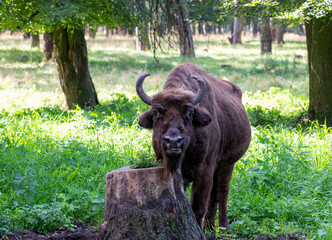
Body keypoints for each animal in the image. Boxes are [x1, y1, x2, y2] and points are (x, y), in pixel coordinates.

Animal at [136, 62, 250, 231]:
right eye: (156, 113)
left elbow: (197, 206)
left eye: (189, 113)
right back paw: (210, 227)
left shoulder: (204, 171)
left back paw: (223, 227)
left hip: (228, 164)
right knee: (215, 194)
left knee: (223, 192)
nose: (173, 141)